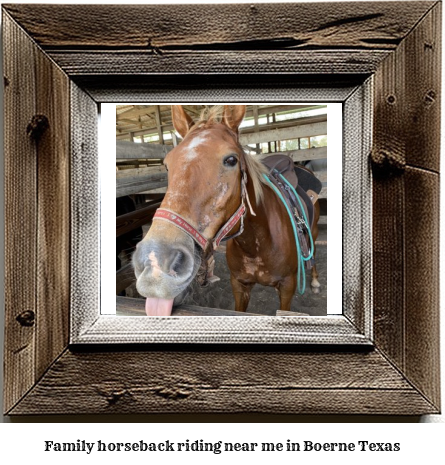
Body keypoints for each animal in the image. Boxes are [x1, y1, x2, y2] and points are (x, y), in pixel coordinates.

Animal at [132, 105, 320, 316]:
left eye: (231, 160)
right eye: (167, 164)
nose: (154, 262)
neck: (256, 245)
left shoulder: (288, 287)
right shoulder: (239, 285)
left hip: (313, 231)